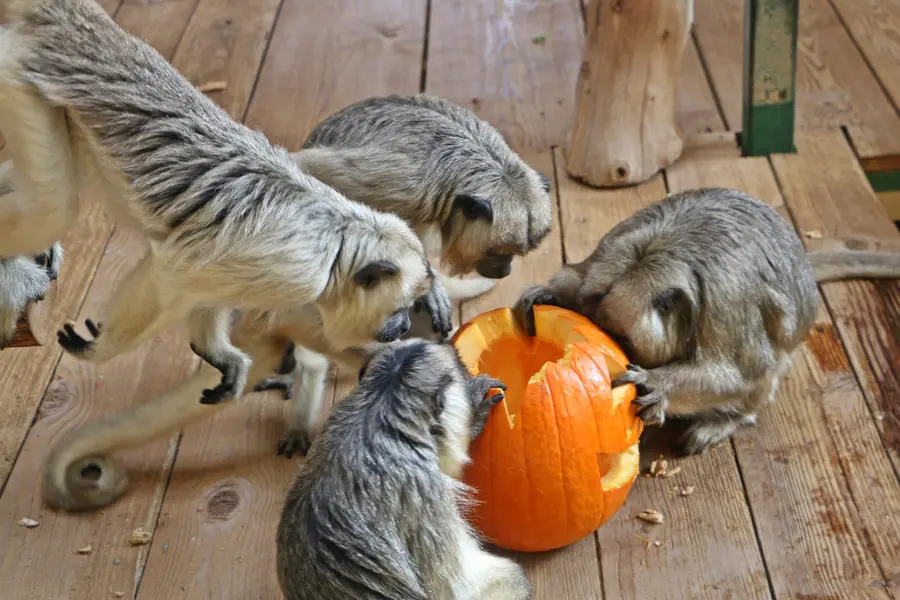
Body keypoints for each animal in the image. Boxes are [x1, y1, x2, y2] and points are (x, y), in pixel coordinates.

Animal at [0, 0, 436, 406]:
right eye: (399, 308)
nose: (402, 328)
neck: (338, 247)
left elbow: (208, 295)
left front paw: (218, 355)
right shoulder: (296, 271)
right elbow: (171, 277)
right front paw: (101, 348)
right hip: (16, 76)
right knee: (53, 204)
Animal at [512, 188, 900, 454]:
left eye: (618, 337)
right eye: (590, 320)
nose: (602, 346)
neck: (661, 254)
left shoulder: (724, 303)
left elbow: (744, 372)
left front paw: (657, 384)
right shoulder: (606, 251)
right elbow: (574, 277)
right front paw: (546, 296)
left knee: (766, 369)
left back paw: (724, 421)